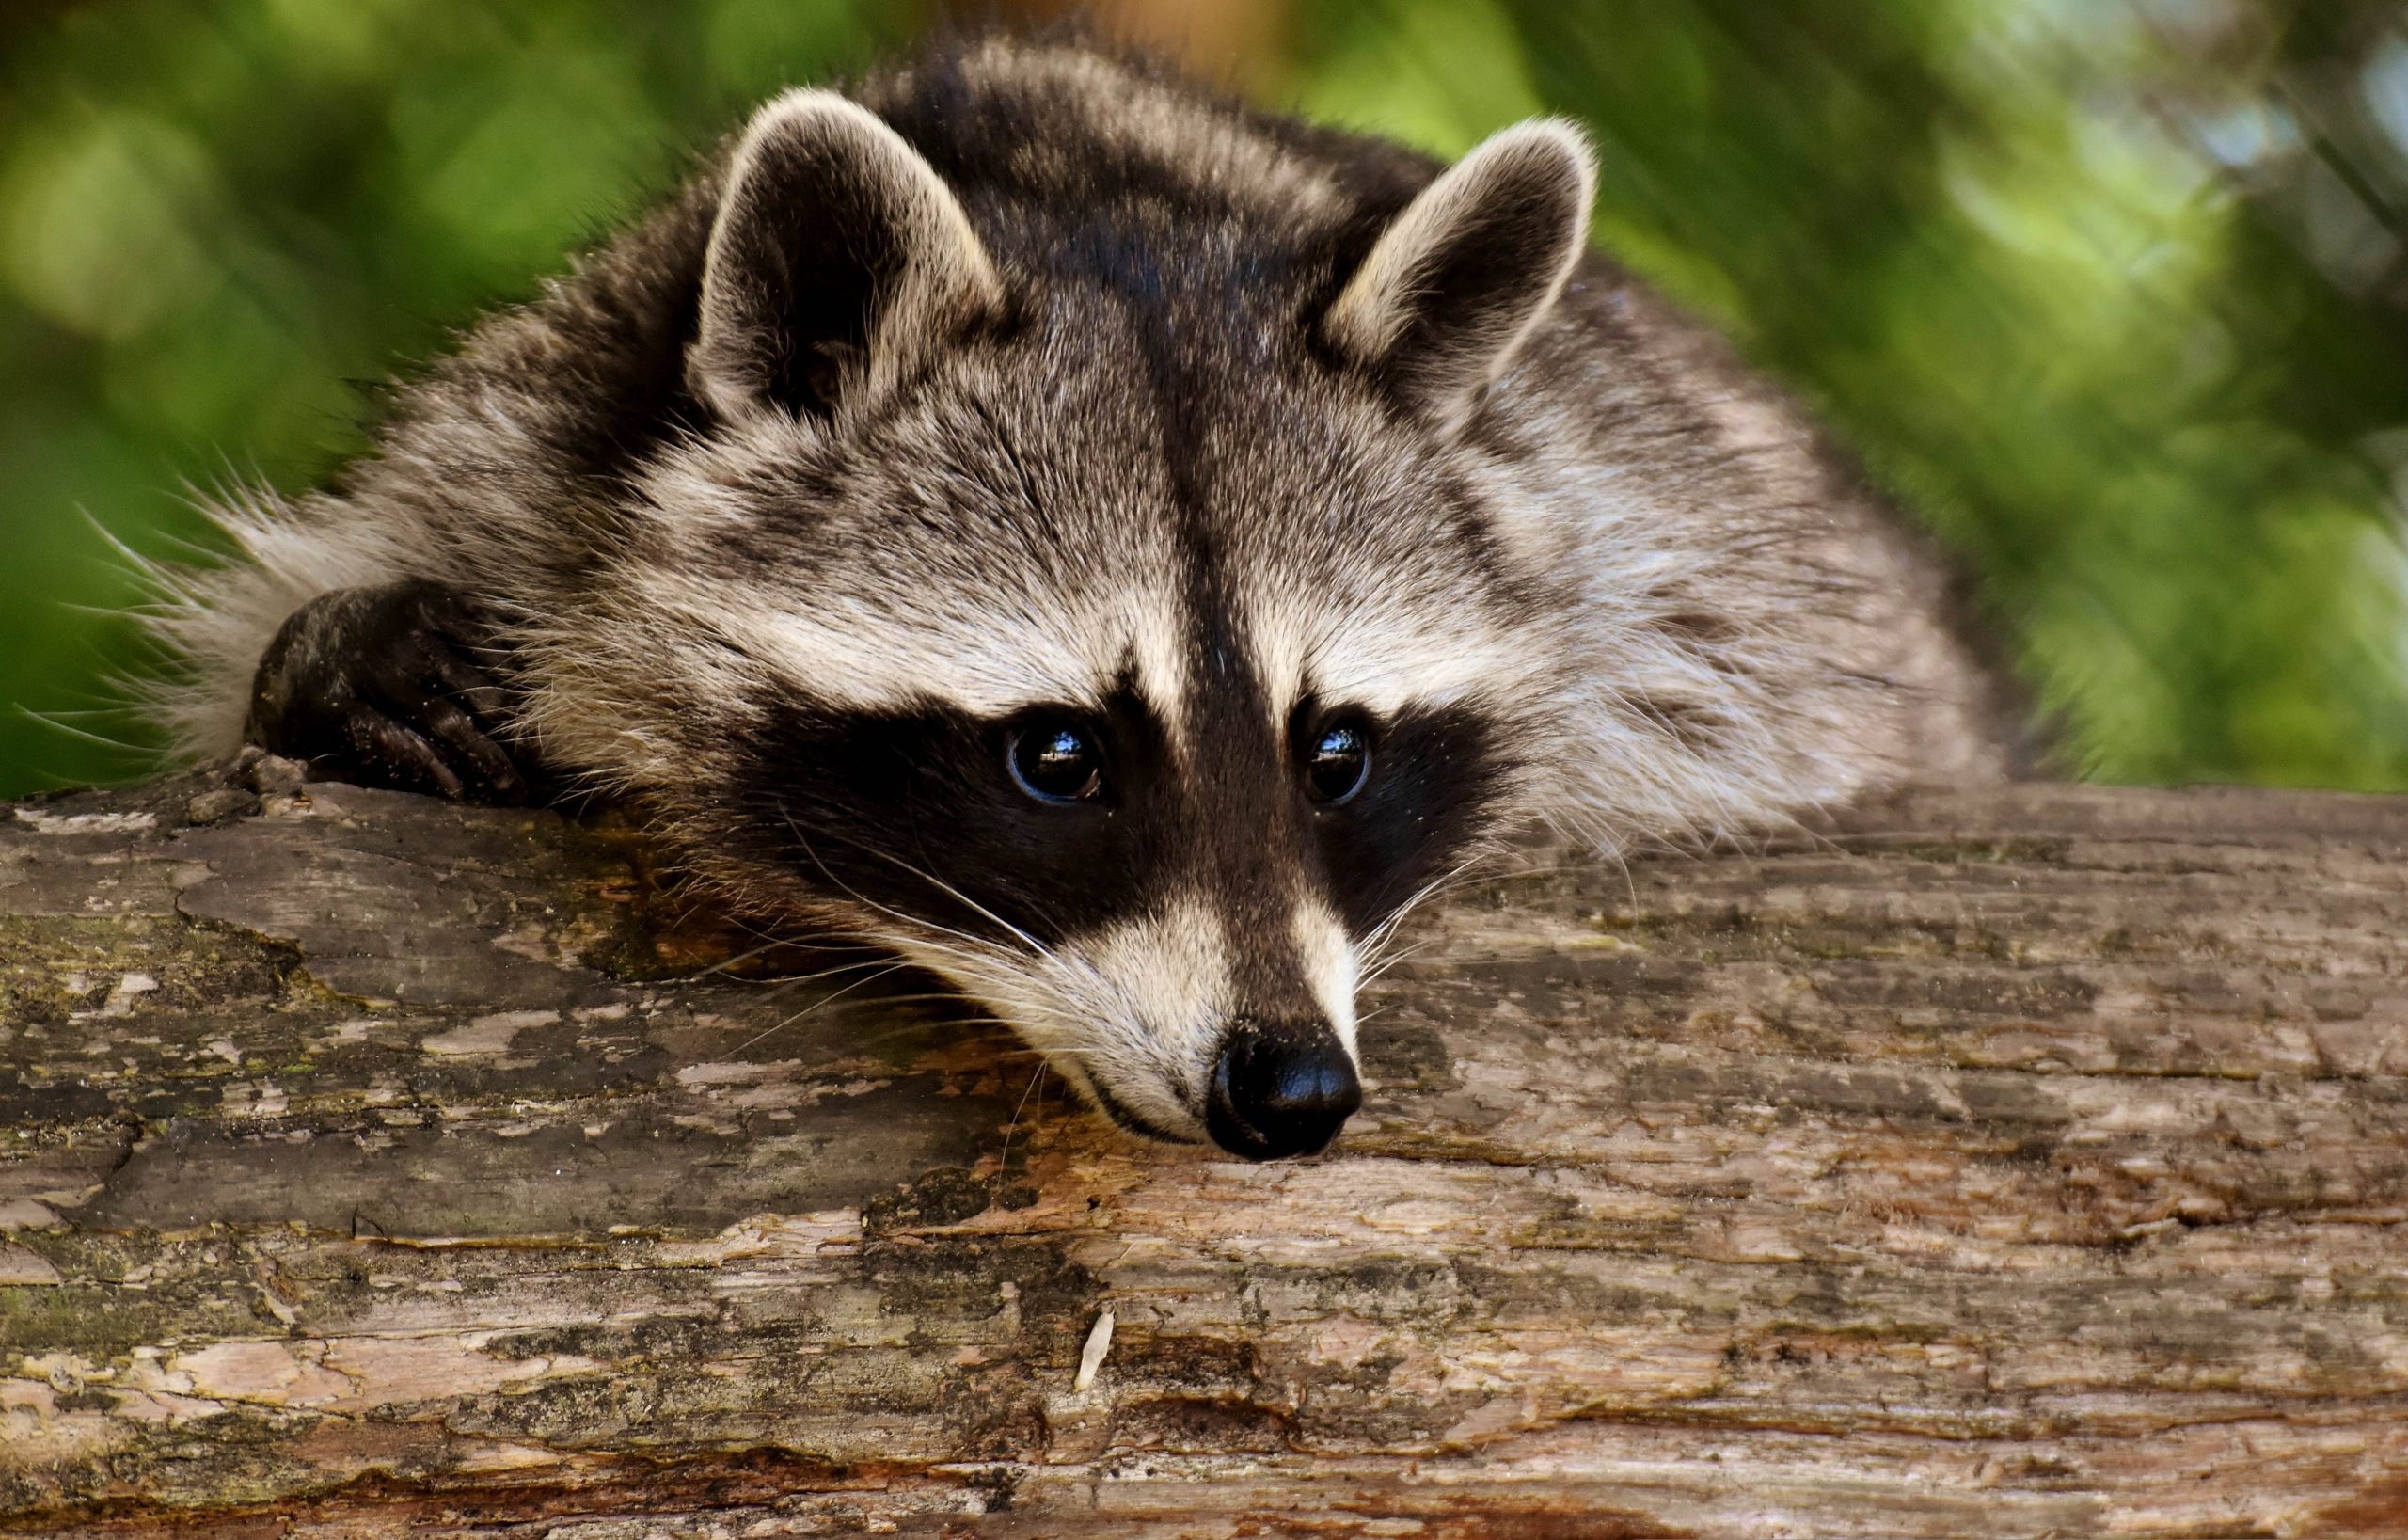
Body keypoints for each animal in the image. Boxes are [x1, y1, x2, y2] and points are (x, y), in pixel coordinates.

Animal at [145, 36, 1993, 1161]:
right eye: (1058, 756)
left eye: (1337, 753)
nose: (1291, 1088)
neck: (1091, 199)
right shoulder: (511, 440)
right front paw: (340, 663)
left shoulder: (1673, 556)